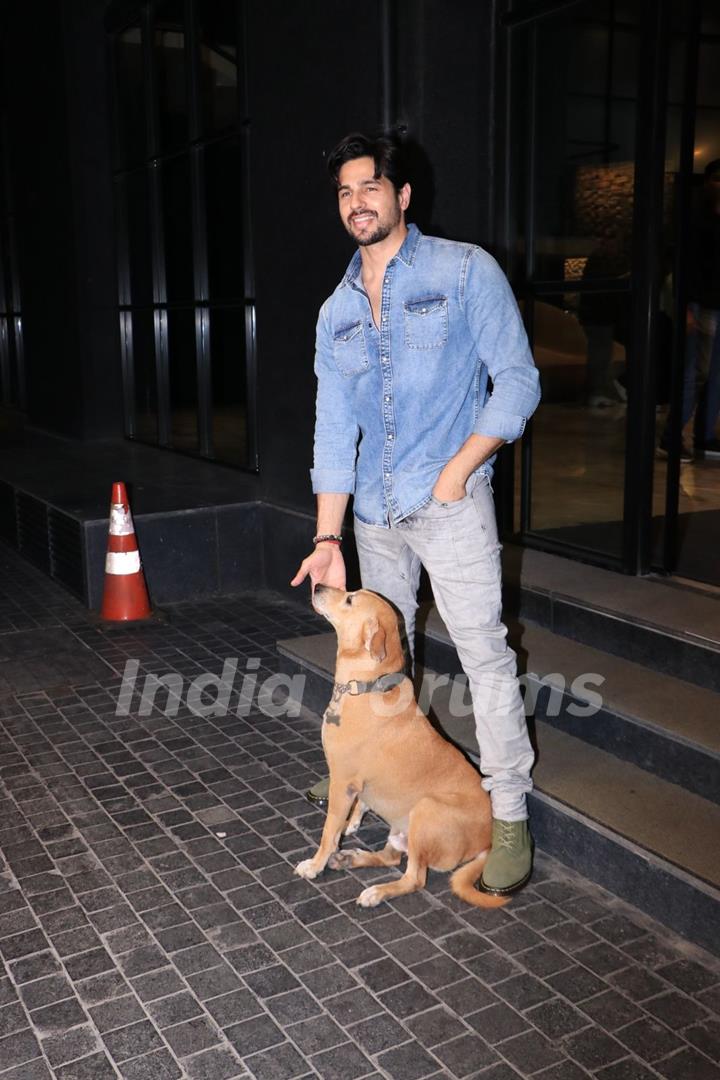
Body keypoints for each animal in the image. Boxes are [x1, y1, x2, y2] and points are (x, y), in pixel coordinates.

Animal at [295, 587, 509, 907]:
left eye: (349, 599)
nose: (318, 586)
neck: (366, 685)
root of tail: (486, 842)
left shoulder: (343, 781)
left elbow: (328, 832)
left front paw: (315, 864)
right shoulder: (357, 786)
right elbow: (358, 807)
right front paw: (351, 824)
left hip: (426, 809)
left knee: (414, 879)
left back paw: (377, 891)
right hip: (401, 827)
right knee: (392, 858)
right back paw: (351, 859)